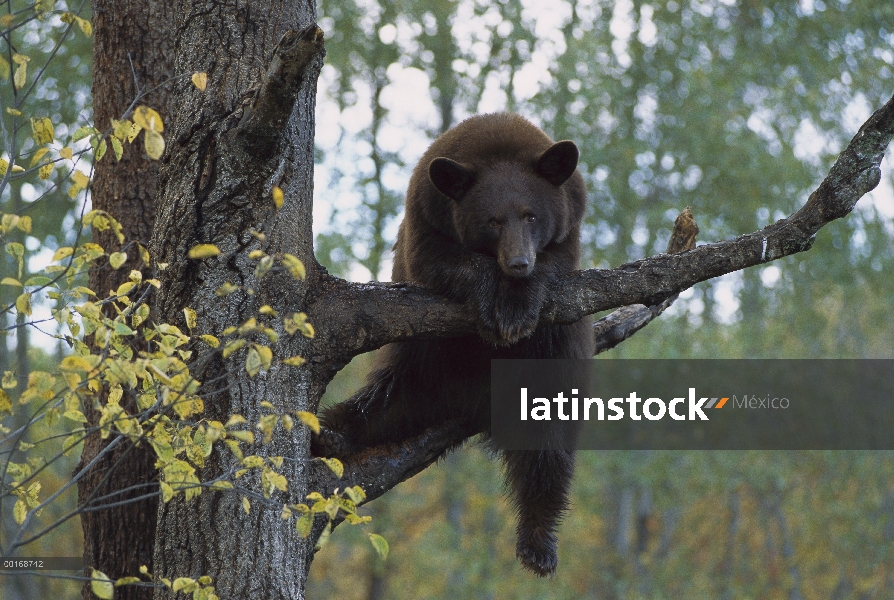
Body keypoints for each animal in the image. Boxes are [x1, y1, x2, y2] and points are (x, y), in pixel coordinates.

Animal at [316, 112, 596, 576]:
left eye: (531, 216)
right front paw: (494, 302)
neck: (499, 144)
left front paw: (515, 308)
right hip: (419, 368)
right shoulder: (425, 215)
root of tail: (475, 403)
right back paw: (331, 434)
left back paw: (538, 544)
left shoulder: (567, 229)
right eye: (493, 221)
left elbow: (553, 269)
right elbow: (444, 263)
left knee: (548, 451)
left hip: (544, 375)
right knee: (376, 408)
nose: (518, 263)